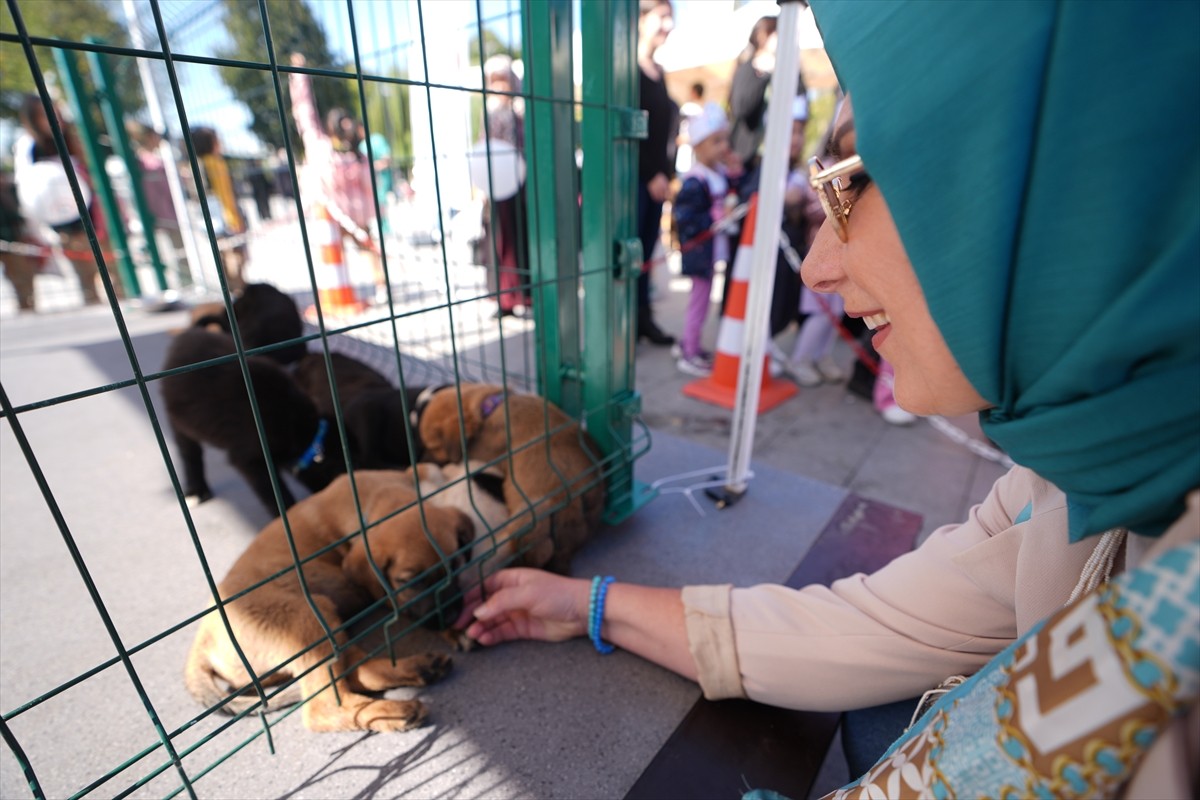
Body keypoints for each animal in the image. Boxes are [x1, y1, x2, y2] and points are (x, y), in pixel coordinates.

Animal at [157, 323, 340, 515]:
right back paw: (197, 491)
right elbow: (276, 495)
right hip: (180, 423)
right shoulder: (250, 459)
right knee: (190, 455)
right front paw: (289, 516)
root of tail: (189, 333)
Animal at [182, 472, 472, 734]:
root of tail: (200, 643)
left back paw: (420, 668)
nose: (453, 615)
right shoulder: (384, 593)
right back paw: (393, 712)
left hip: (325, 627)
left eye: (456, 564)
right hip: (307, 616)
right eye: (411, 582)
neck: (374, 495)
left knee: (353, 672)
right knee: (322, 707)